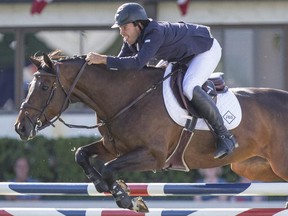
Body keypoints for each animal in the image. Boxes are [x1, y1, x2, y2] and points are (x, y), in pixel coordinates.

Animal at [15, 50, 288, 211]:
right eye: (30, 85)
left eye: (44, 87)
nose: (21, 127)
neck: (128, 97)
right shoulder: (113, 147)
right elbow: (81, 154)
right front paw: (102, 185)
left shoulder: (153, 156)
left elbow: (109, 168)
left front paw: (126, 198)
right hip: (254, 167)